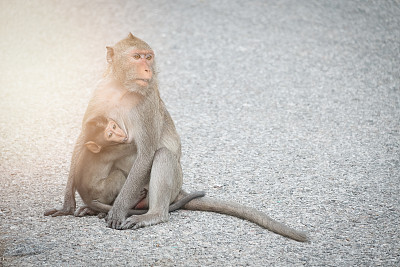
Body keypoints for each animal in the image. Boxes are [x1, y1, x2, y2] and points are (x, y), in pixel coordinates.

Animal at [46, 33, 310, 243]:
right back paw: (96, 209)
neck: (122, 88)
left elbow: (146, 152)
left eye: (148, 57)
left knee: (162, 156)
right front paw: (67, 206)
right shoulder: (99, 92)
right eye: (136, 57)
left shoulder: (147, 104)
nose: (147, 69)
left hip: (166, 187)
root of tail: (178, 193)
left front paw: (118, 212)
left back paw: (151, 214)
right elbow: (82, 139)